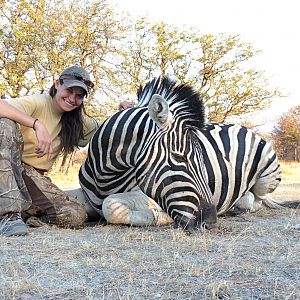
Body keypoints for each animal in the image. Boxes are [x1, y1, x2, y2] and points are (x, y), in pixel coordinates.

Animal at [77, 76, 298, 231]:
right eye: (179, 157)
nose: (210, 222)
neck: (104, 176)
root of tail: (241, 126)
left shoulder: (147, 194)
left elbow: (111, 206)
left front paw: (160, 217)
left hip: (266, 178)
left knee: (255, 200)